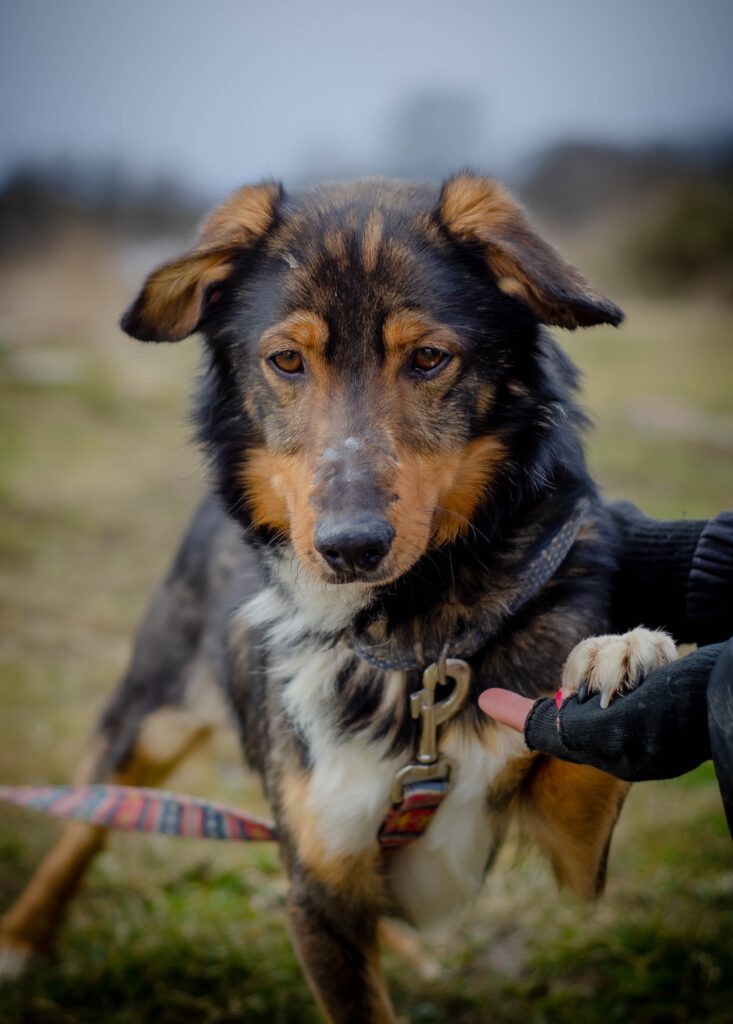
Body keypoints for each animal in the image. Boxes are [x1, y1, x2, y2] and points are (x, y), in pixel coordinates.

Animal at [0, 172, 675, 1019]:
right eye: (286, 359)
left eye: (429, 358)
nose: (350, 548)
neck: (409, 641)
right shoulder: (314, 885)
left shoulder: (570, 850)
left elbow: (592, 764)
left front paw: (623, 654)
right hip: (145, 716)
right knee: (82, 823)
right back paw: (22, 936)